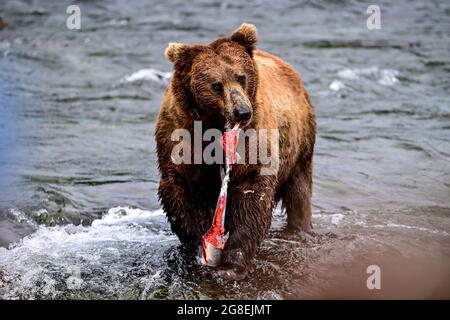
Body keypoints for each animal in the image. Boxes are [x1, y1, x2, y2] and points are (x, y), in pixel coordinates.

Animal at [156, 22, 316, 278]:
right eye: (216, 85)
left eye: (241, 77)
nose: (242, 112)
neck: (214, 126)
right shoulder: (181, 136)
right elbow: (179, 191)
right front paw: (198, 245)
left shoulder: (254, 138)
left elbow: (252, 195)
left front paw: (231, 265)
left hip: (300, 143)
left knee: (299, 192)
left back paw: (299, 230)